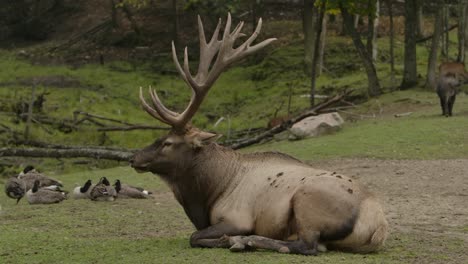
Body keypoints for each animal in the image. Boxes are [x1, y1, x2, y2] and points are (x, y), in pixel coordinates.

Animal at [132, 13, 388, 255]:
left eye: (167, 142)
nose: (133, 157)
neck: (209, 193)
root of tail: (378, 228)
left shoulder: (237, 218)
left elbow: (194, 237)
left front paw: (232, 240)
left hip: (307, 202)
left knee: (307, 246)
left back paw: (250, 241)